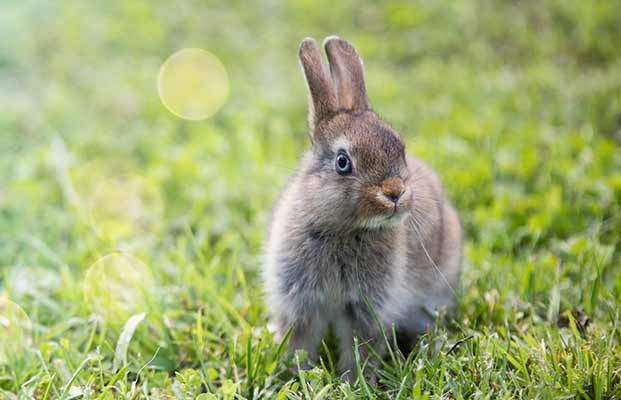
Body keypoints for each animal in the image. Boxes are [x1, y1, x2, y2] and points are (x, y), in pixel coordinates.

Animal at [262, 37, 460, 384]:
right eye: (343, 162)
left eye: (400, 148)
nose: (395, 192)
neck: (344, 229)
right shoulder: (299, 300)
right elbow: (300, 341)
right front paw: (297, 376)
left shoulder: (368, 307)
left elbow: (362, 346)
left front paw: (353, 382)